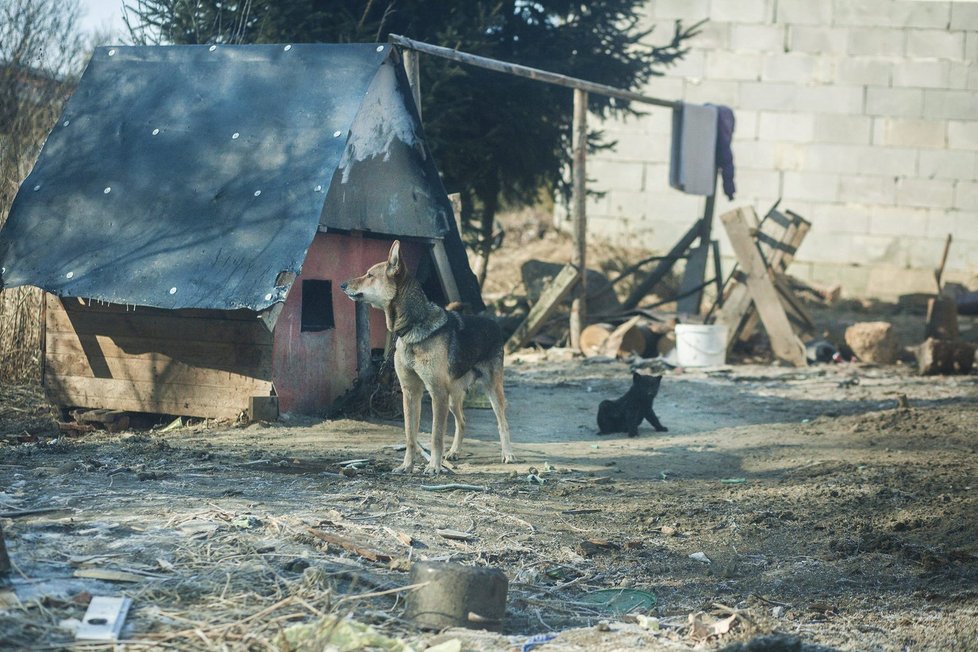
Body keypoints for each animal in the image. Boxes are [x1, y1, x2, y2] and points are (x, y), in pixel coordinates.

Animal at [340, 239, 516, 474]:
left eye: (369, 275)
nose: (342, 285)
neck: (412, 327)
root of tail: (493, 323)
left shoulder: (436, 392)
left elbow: (435, 435)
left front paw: (433, 466)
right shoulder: (410, 392)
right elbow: (410, 435)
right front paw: (407, 465)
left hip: (491, 390)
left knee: (502, 422)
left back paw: (508, 454)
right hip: (453, 397)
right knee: (462, 421)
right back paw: (454, 452)